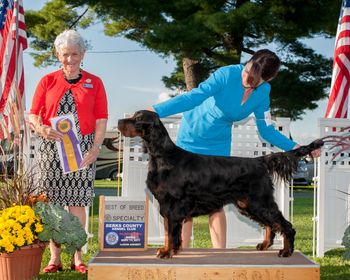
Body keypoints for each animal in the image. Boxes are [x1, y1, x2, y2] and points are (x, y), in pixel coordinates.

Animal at [117, 110, 322, 260]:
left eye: (138, 118)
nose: (118, 121)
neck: (163, 157)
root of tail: (259, 161)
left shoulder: (172, 206)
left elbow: (172, 233)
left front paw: (167, 252)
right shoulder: (167, 208)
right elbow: (170, 233)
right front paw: (169, 250)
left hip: (259, 201)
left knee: (284, 224)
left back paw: (286, 251)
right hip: (248, 204)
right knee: (270, 225)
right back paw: (264, 245)